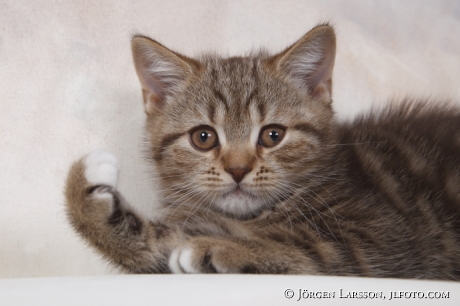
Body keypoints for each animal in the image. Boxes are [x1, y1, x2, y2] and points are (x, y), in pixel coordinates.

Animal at [64, 24, 460, 280]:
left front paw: (227, 248)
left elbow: (307, 249)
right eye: (203, 137)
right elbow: (156, 248)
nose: (238, 169)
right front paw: (86, 196)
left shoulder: (382, 241)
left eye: (273, 135)